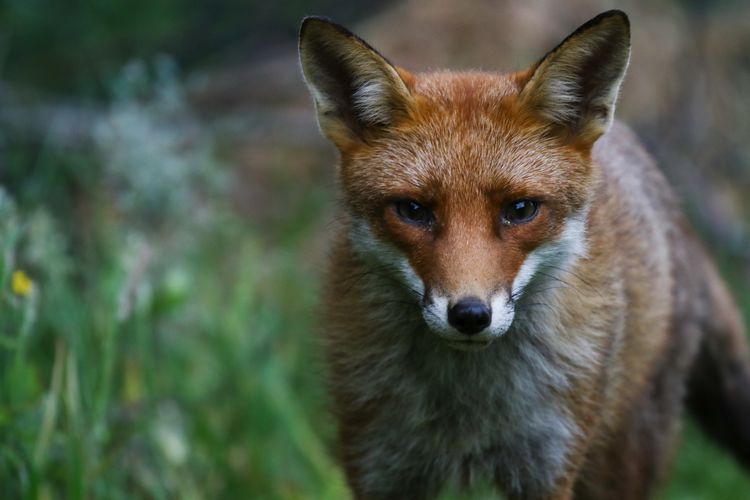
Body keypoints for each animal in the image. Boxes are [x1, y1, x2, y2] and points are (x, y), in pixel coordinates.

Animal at [298, 10, 750, 499]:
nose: (470, 315)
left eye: (520, 210)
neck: (465, 407)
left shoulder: (549, 464)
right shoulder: (379, 464)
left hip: (618, 461)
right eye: (413, 211)